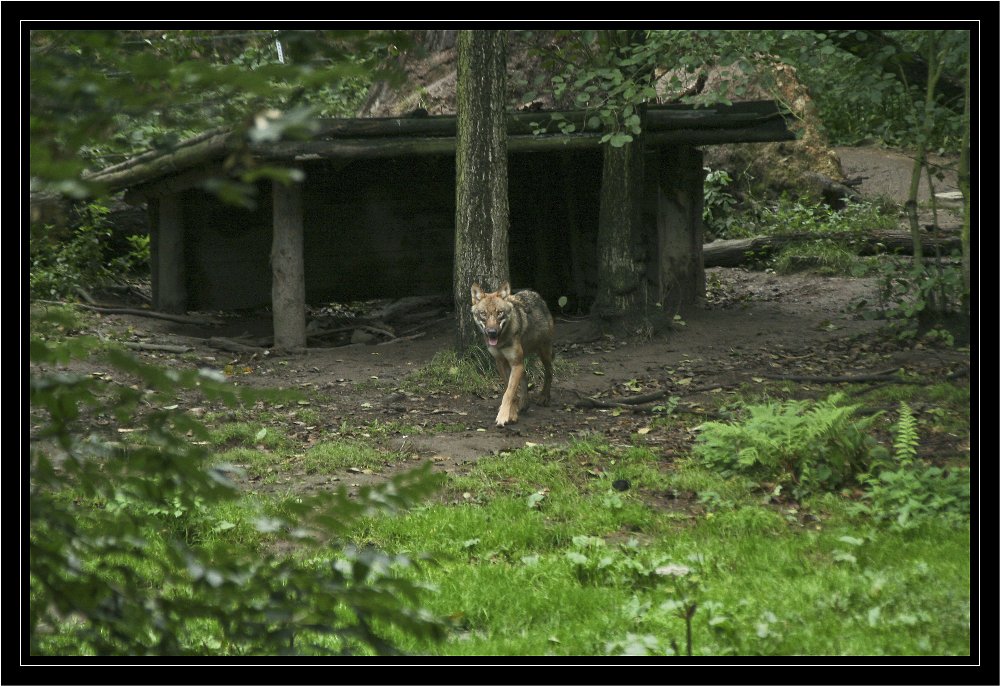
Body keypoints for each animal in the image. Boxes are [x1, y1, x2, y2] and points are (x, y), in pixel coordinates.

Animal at [470, 281, 554, 427]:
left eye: (499, 313)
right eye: (483, 314)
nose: (492, 332)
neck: (502, 341)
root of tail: (535, 294)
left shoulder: (516, 363)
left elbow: (509, 393)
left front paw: (503, 416)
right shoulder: (501, 362)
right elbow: (509, 390)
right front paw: (513, 414)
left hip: (543, 354)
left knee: (549, 373)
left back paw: (544, 397)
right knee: (525, 376)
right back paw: (524, 404)